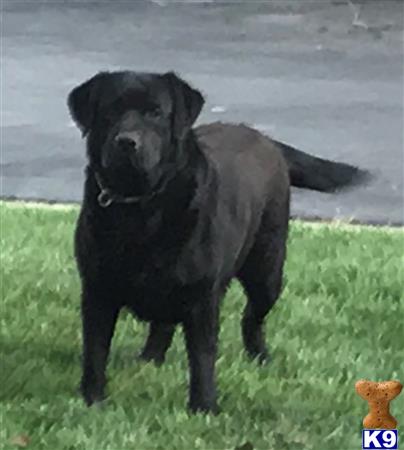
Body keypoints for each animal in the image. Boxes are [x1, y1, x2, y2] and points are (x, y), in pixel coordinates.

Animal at [68, 71, 370, 414]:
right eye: (110, 110)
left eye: (155, 113)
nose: (127, 141)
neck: (141, 207)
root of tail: (263, 138)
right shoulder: (96, 290)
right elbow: (95, 350)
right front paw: (92, 398)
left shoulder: (202, 296)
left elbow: (202, 357)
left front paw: (204, 406)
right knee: (163, 324)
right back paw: (150, 359)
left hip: (267, 268)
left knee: (252, 318)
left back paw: (259, 357)